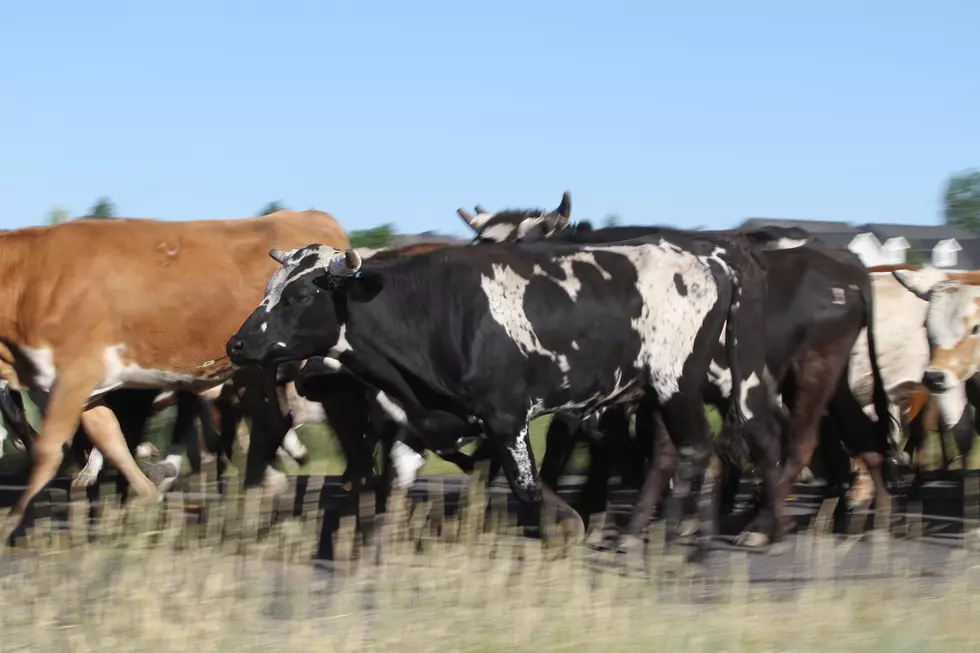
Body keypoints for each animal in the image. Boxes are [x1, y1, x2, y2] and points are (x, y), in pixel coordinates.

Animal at [0, 211, 348, 544]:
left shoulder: (75, 379)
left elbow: (48, 452)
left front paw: (10, 526)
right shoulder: (81, 391)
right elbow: (111, 441)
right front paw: (148, 497)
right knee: (265, 424)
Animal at [228, 234, 772, 552]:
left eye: (300, 294)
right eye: (269, 286)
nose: (236, 344)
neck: (434, 311)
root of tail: (711, 260)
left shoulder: (506, 417)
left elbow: (527, 484)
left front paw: (568, 523)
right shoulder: (419, 422)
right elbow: (394, 488)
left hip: (678, 383)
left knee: (699, 449)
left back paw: (676, 534)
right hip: (653, 393)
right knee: (669, 455)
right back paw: (641, 530)